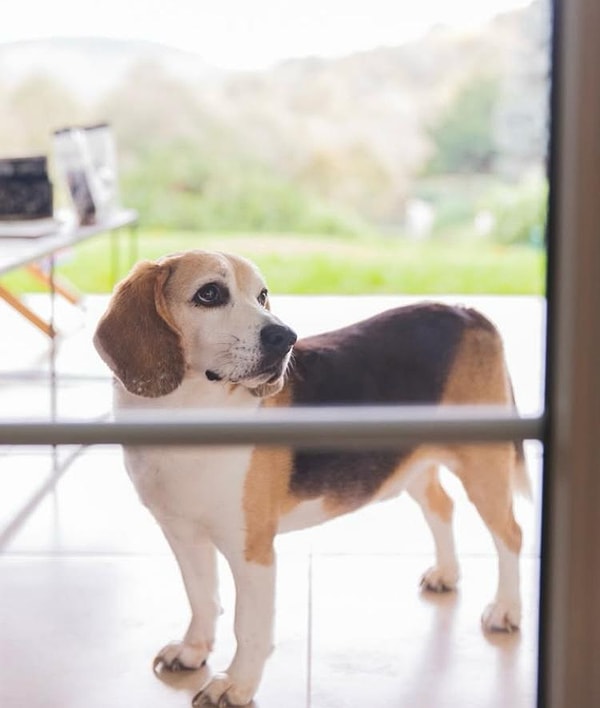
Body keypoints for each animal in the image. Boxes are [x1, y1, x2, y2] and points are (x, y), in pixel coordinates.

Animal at [92, 252, 524, 704]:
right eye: (209, 293)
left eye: (262, 295)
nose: (286, 337)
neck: (190, 410)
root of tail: (467, 311)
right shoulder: (182, 535)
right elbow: (203, 598)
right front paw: (194, 651)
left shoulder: (251, 549)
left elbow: (248, 626)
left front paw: (237, 684)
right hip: (412, 464)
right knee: (443, 505)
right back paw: (447, 574)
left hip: (484, 466)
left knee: (511, 534)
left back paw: (506, 609)